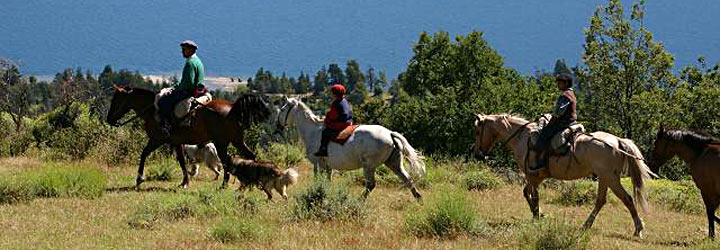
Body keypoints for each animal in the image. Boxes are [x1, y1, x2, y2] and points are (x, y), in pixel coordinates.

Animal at [108, 85, 272, 188]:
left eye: (115, 100)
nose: (109, 119)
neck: (152, 110)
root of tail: (232, 108)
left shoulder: (158, 139)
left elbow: (144, 154)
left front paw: (139, 178)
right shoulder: (176, 142)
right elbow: (180, 161)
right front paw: (185, 181)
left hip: (221, 143)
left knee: (227, 162)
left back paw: (224, 185)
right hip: (236, 141)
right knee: (249, 156)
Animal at [274, 97, 422, 199]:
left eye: (283, 109)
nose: (277, 125)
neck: (313, 131)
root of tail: (390, 133)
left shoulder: (319, 164)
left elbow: (319, 180)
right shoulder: (327, 167)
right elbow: (327, 182)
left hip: (369, 166)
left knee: (370, 185)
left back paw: (360, 200)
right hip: (394, 164)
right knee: (408, 179)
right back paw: (418, 199)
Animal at [476, 114, 656, 237]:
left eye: (477, 131)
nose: (478, 154)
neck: (523, 138)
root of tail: (617, 141)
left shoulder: (532, 175)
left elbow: (533, 195)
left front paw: (537, 215)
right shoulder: (536, 177)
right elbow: (528, 193)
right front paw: (538, 214)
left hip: (611, 179)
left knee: (627, 199)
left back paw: (638, 229)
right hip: (604, 179)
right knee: (601, 201)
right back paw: (586, 225)